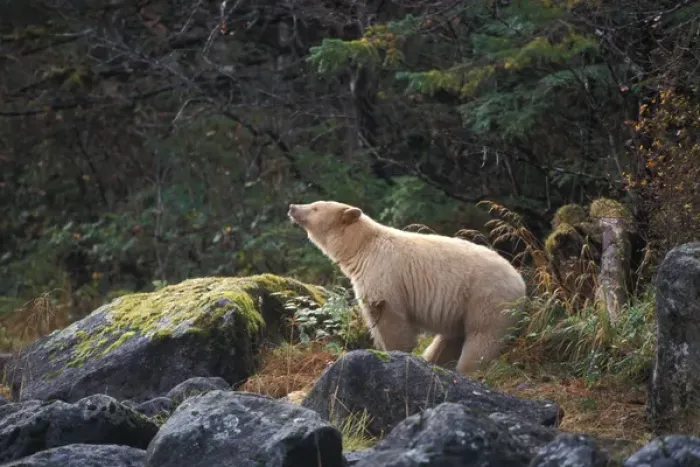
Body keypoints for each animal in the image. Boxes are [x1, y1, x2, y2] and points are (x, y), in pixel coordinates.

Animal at [287, 200, 527, 375]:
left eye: (315, 207)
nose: (292, 207)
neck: (363, 247)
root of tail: (521, 282)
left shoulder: (383, 272)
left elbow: (389, 317)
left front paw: (395, 354)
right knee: (449, 340)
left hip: (488, 298)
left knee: (482, 338)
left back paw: (467, 369)